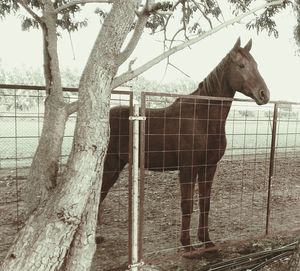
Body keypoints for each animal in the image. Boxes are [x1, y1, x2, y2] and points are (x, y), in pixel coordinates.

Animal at [98, 37, 270, 258]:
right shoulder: (188, 169)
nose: (264, 94)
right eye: (241, 65)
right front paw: (187, 245)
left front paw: (207, 241)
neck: (202, 118)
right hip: (109, 165)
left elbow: (205, 203)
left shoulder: (209, 167)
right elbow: (187, 205)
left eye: (256, 65)